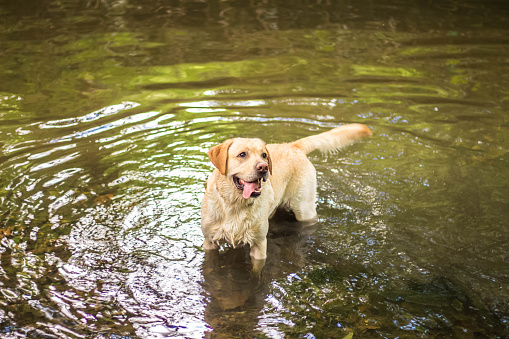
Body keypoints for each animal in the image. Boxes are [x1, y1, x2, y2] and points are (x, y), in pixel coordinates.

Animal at [200, 123, 372, 266]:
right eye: (242, 154)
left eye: (264, 155)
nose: (263, 167)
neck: (234, 204)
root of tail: (293, 145)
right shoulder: (209, 242)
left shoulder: (259, 245)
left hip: (304, 209)